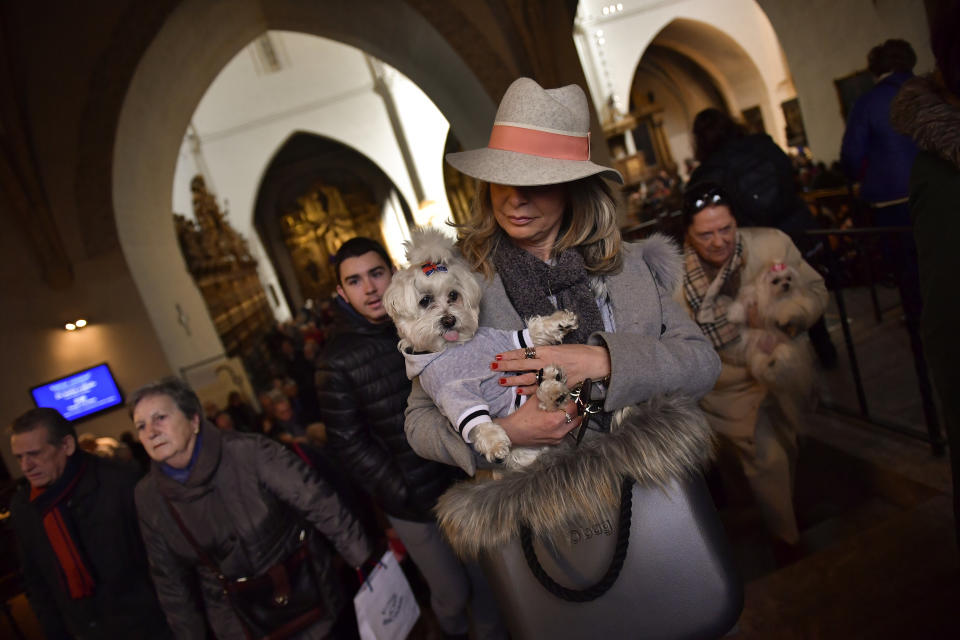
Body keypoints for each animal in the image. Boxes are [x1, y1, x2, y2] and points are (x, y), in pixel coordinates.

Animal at [382, 228, 576, 468]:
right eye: (425, 301)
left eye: (453, 295)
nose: (449, 320)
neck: (454, 347)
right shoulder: (453, 391)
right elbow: (476, 421)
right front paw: (494, 443)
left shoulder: (501, 341)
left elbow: (531, 332)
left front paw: (559, 322)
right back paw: (553, 391)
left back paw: (552, 379)